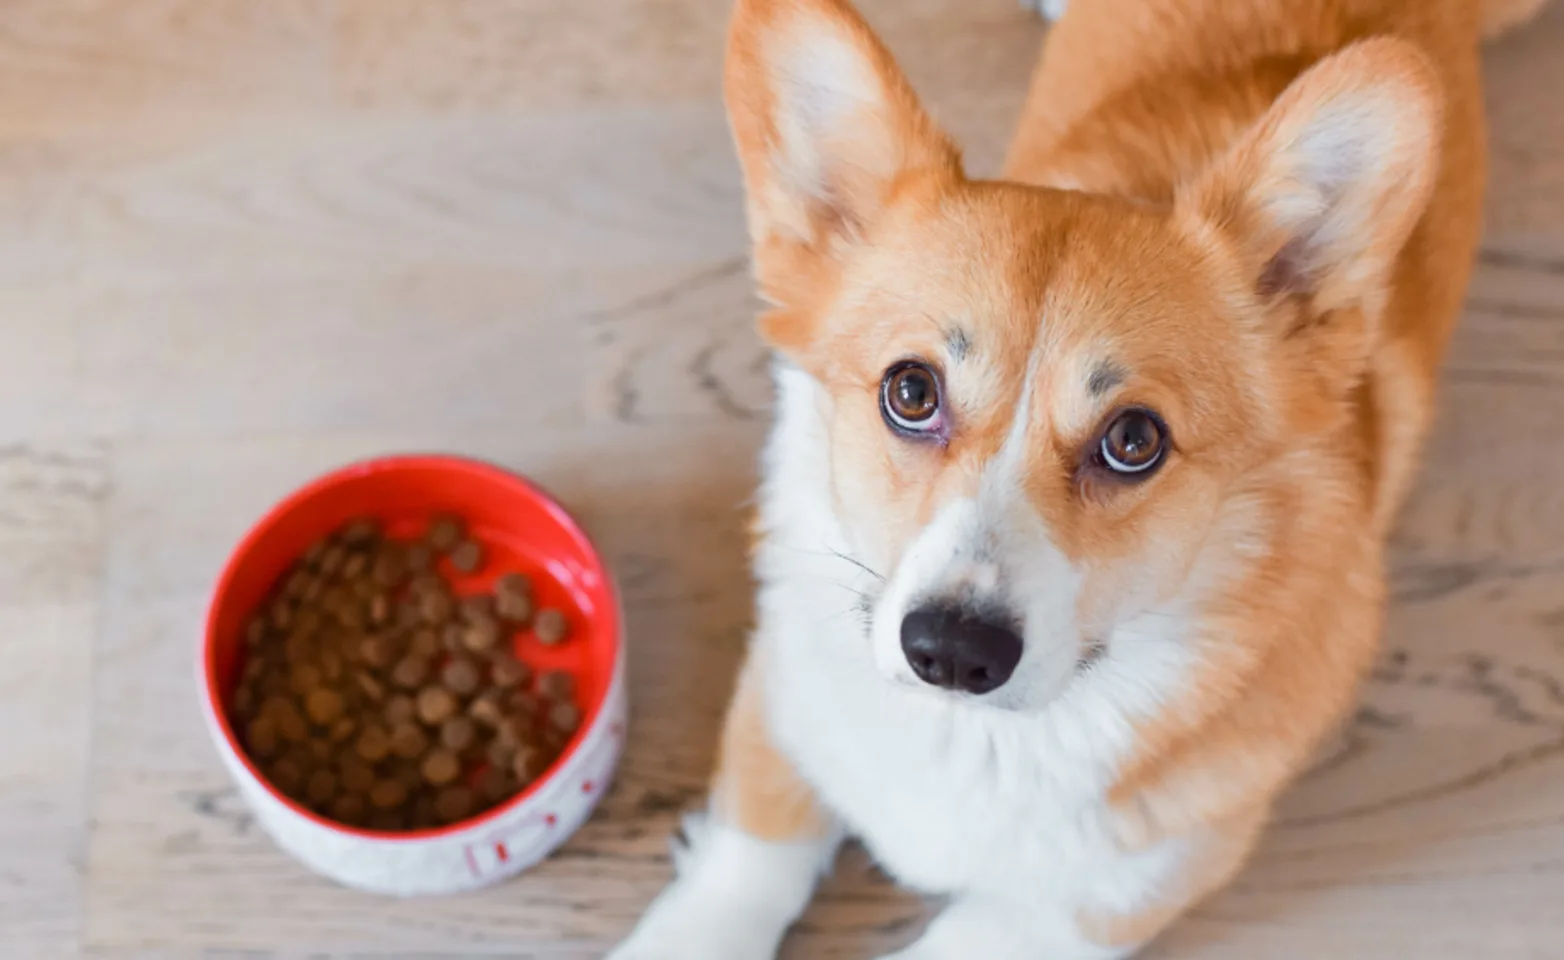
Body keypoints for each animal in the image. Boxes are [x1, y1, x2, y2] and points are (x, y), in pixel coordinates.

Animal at [603, 0, 1545, 956]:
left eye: (1134, 439)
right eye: (911, 391)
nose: (952, 653)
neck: (976, 742)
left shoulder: (1091, 901)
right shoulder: (784, 698)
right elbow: (742, 870)